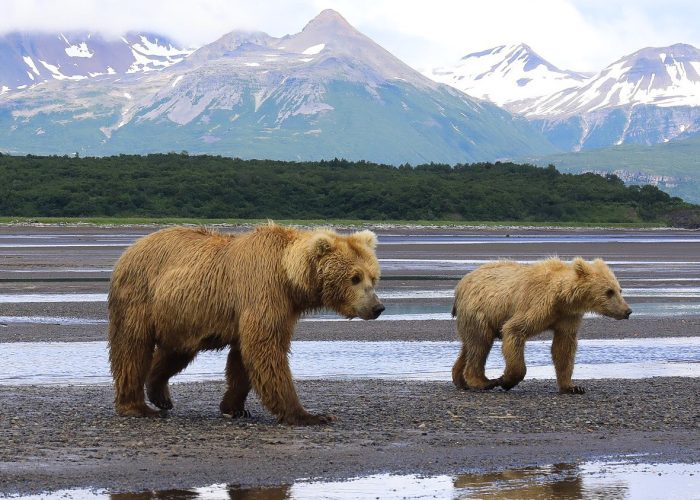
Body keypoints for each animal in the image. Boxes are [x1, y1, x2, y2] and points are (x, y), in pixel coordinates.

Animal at [107, 225, 386, 424]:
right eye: (354, 277)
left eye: (373, 277)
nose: (377, 308)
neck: (289, 278)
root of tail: (129, 249)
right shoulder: (263, 291)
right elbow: (266, 350)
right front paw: (309, 415)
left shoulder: (281, 308)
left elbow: (243, 358)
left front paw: (234, 408)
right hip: (140, 297)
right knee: (133, 348)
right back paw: (137, 407)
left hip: (182, 315)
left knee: (177, 351)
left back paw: (160, 395)